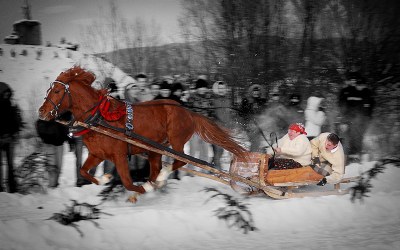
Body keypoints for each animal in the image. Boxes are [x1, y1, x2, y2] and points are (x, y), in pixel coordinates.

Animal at [39, 66, 248, 201]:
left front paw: (141, 188)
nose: (41, 112)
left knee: (179, 161)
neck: (98, 117)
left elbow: (128, 182)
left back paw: (160, 178)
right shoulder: (97, 154)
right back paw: (158, 180)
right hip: (156, 148)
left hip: (175, 141)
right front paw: (104, 178)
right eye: (49, 88)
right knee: (157, 168)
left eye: (57, 91)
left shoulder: (120, 155)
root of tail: (188, 111)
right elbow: (84, 171)